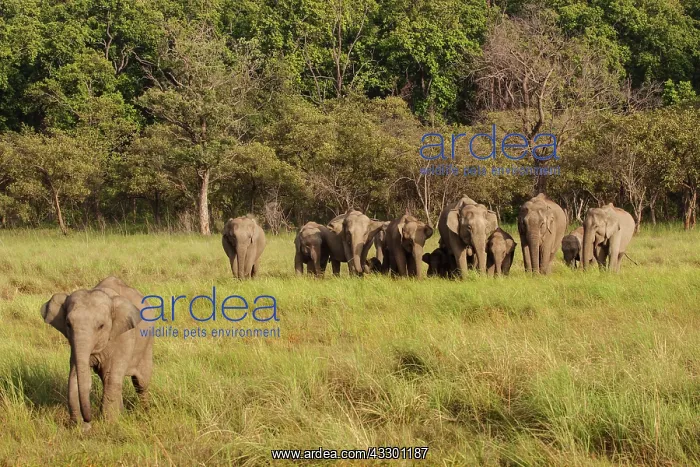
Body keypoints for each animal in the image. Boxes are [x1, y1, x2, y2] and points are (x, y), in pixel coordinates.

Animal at [40, 276, 153, 430]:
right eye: (68, 324)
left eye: (101, 326)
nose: (88, 420)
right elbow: (79, 378)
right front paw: (78, 427)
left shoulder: (124, 337)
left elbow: (112, 377)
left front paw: (110, 424)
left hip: (147, 344)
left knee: (140, 382)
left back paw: (144, 412)